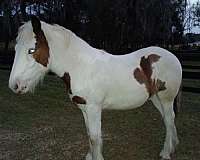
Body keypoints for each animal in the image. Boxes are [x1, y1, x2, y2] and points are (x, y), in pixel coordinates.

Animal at [9, 16, 181, 160]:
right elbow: (89, 134)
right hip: (155, 98)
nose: (14, 85)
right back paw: (173, 146)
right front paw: (89, 156)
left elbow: (94, 137)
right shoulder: (84, 108)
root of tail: (173, 57)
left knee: (169, 119)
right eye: (15, 49)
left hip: (166, 98)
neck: (80, 66)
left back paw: (166, 153)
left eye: (31, 50)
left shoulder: (94, 108)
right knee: (168, 120)